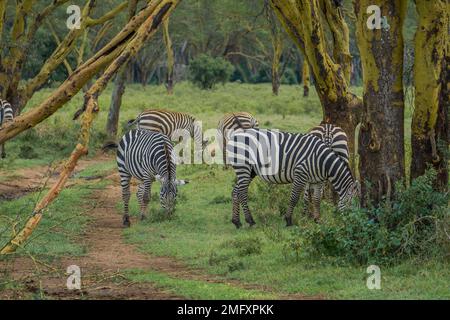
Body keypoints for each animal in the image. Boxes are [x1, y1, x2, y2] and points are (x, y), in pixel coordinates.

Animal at [227, 127, 360, 228]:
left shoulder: (318, 180)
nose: (355, 224)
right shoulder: (300, 174)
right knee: (242, 193)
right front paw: (288, 220)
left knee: (235, 191)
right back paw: (250, 220)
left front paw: (317, 220)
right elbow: (294, 198)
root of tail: (235, 135)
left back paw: (236, 221)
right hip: (243, 166)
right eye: (351, 204)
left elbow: (317, 199)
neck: (322, 161)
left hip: (250, 171)